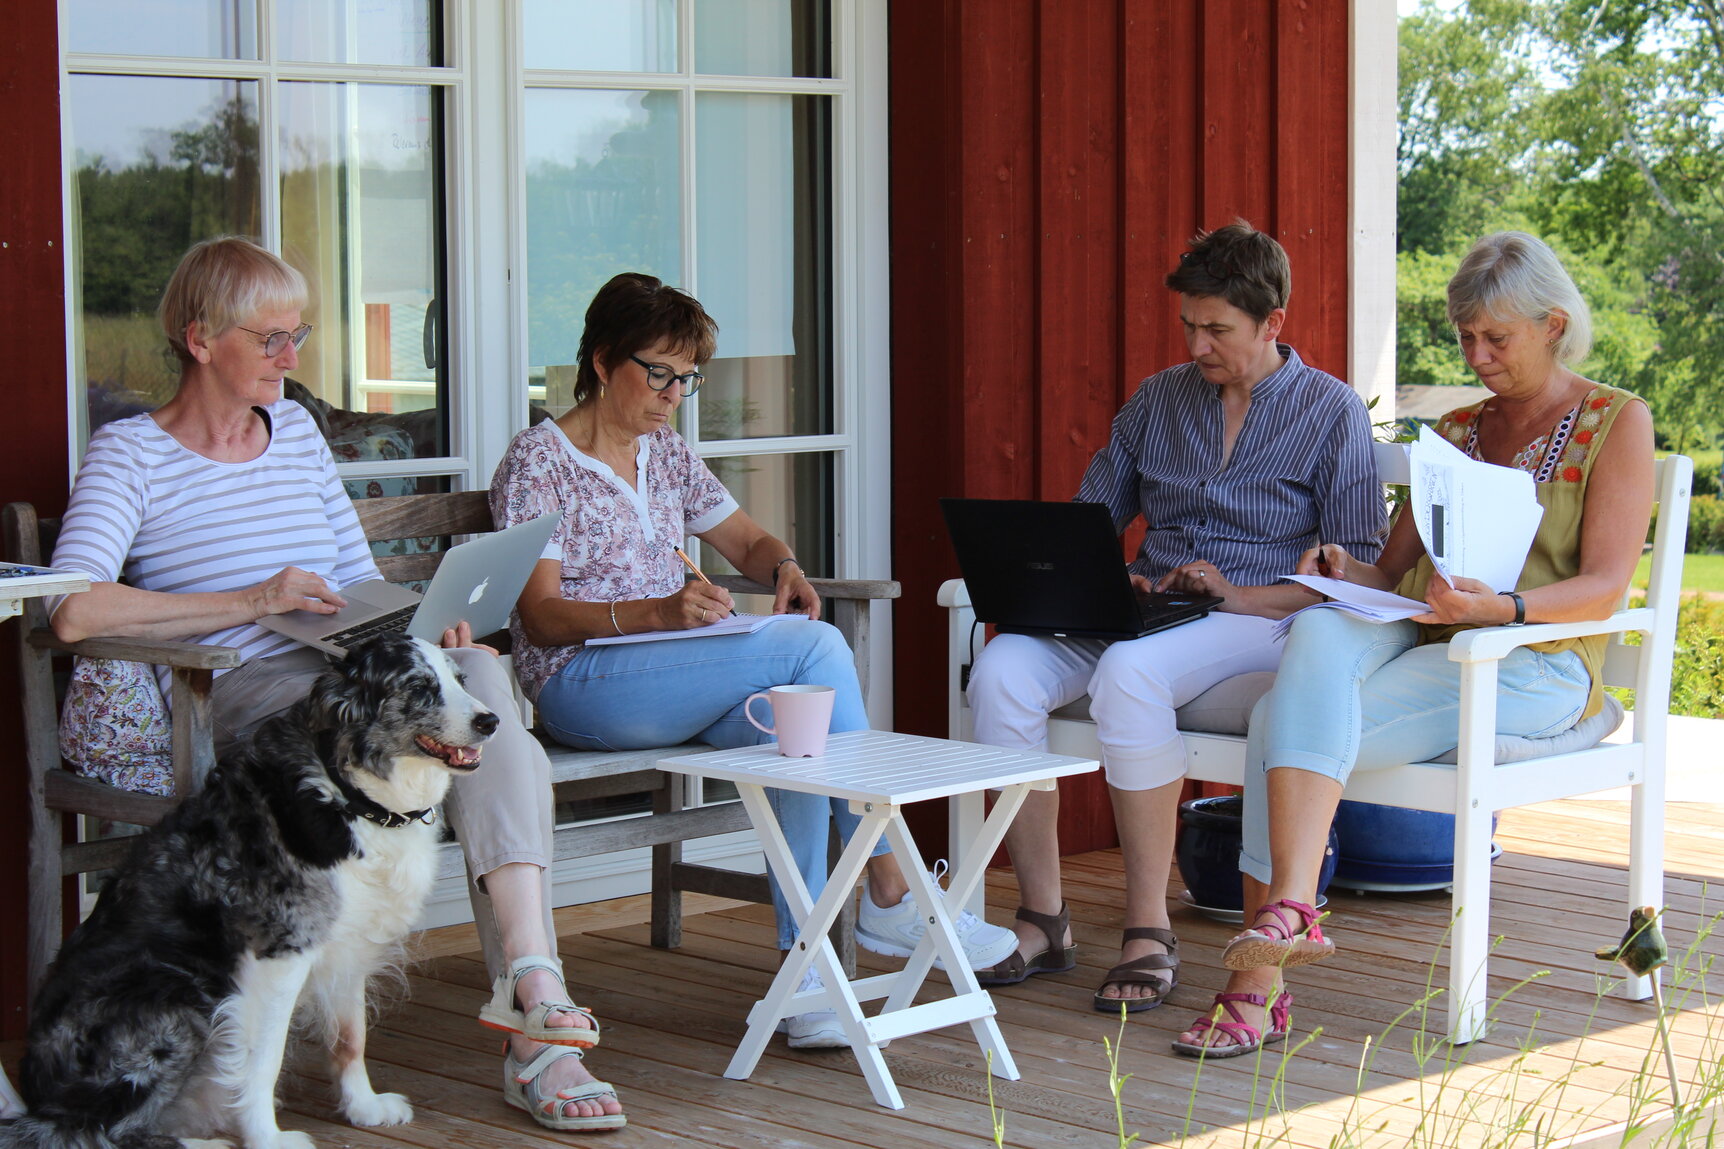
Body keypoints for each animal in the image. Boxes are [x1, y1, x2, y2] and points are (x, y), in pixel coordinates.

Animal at [1, 634, 499, 1145]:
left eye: (460, 680)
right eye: (419, 687)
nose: (491, 721)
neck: (352, 795)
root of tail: (37, 1092)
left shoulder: (346, 943)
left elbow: (349, 1036)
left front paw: (364, 1107)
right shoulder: (278, 955)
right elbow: (262, 1061)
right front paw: (267, 1137)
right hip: (177, 998)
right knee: (96, 1130)